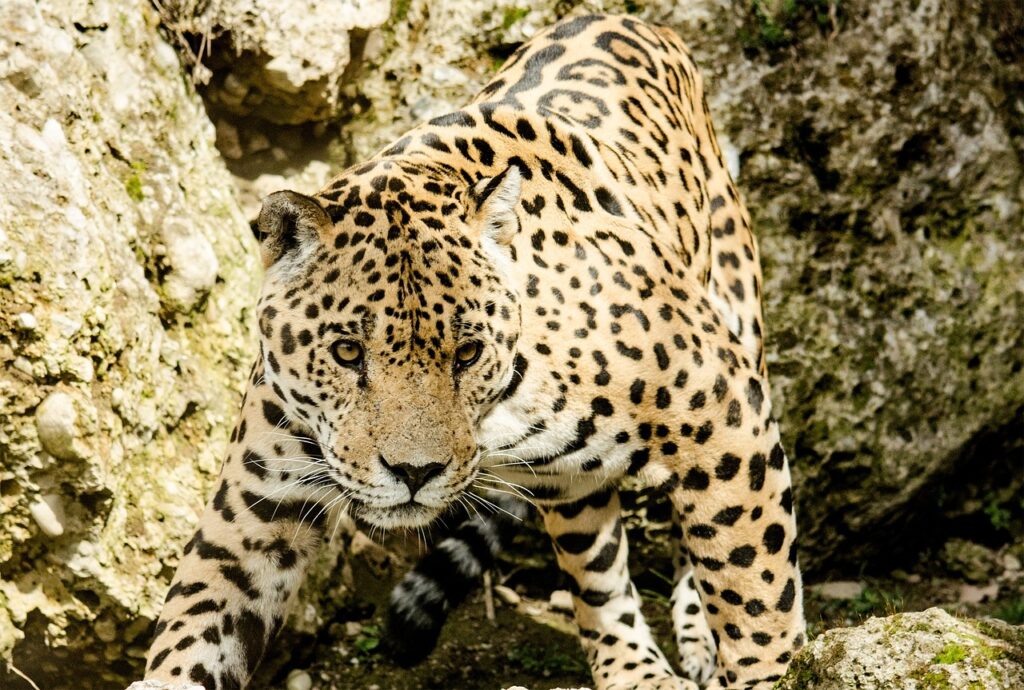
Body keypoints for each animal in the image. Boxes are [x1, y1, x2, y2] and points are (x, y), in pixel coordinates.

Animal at [139, 13, 805, 690]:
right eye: (347, 352)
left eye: (466, 353)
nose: (414, 474)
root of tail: (632, 18)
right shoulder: (253, 516)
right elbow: (195, 628)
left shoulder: (726, 414)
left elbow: (755, 590)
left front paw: (772, 671)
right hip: (569, 481)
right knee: (597, 571)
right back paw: (633, 671)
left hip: (739, 313)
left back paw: (696, 639)